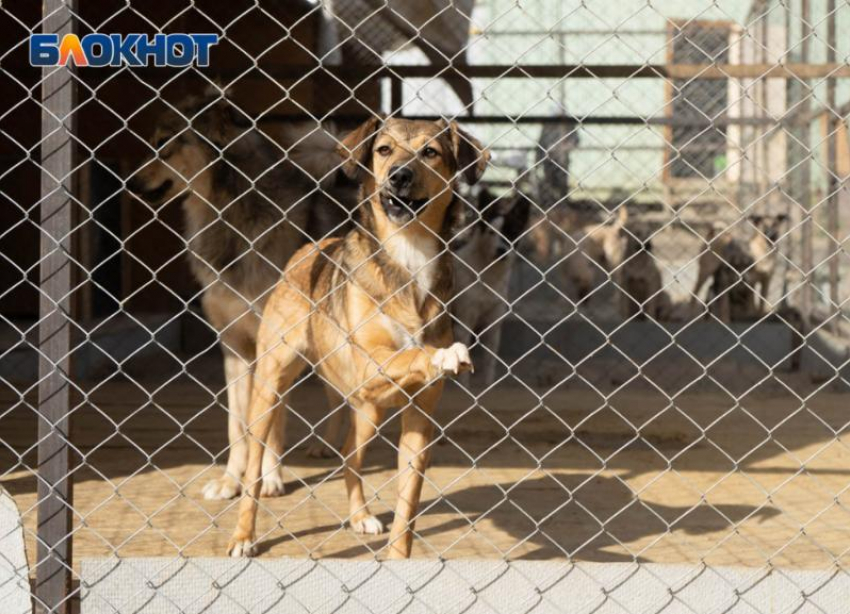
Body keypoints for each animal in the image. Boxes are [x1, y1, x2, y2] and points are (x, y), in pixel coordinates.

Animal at [126, 92, 354, 506]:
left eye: (165, 144)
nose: (129, 183)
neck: (227, 212)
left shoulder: (275, 346)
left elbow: (272, 422)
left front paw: (270, 478)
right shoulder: (233, 346)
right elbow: (239, 423)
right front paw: (232, 480)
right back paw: (327, 446)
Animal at [227, 116, 490, 564]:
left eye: (431, 152)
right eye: (383, 150)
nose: (398, 176)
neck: (409, 255)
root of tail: (311, 247)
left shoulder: (418, 421)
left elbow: (407, 504)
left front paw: (398, 557)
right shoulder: (373, 365)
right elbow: (416, 353)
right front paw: (444, 356)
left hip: (368, 410)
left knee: (351, 456)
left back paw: (360, 516)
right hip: (269, 388)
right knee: (255, 470)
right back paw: (244, 536)